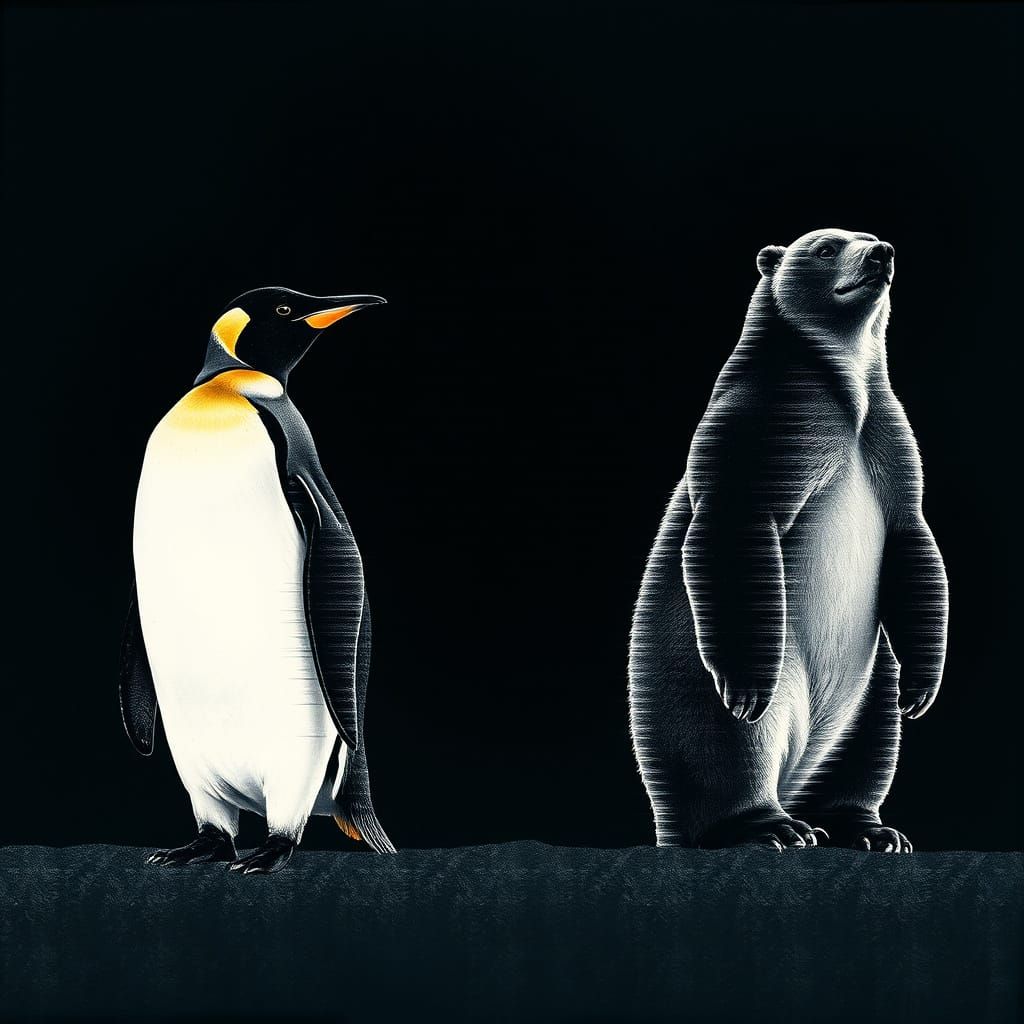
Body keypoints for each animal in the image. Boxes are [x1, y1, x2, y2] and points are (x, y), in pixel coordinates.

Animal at [628, 228, 948, 851]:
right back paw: (770, 825)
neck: (842, 388)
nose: (882, 253)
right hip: (717, 674)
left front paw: (924, 686)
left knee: (868, 745)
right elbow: (736, 523)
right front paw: (747, 686)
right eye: (826, 247)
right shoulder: (767, 420)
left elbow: (912, 538)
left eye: (871, 237)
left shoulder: (887, 438)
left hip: (868, 681)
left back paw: (867, 828)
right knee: (729, 746)